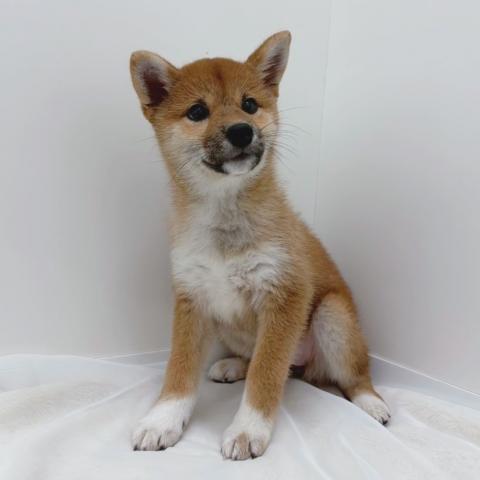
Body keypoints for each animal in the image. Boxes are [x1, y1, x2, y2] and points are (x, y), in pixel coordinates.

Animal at [129, 31, 390, 461]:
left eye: (249, 105)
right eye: (197, 111)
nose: (241, 131)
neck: (225, 220)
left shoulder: (285, 296)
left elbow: (266, 375)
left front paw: (248, 429)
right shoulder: (192, 299)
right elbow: (180, 369)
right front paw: (163, 419)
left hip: (332, 316)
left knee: (353, 377)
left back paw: (372, 403)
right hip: (229, 327)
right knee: (257, 360)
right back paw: (233, 366)